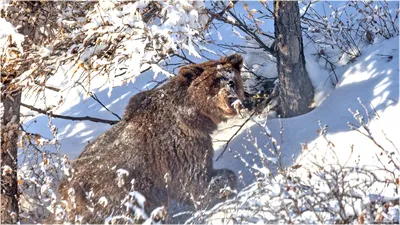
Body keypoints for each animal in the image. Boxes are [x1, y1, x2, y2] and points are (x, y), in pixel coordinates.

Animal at [53, 54, 245, 223]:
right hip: (114, 195)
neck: (191, 118)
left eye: (231, 81)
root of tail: (65, 189)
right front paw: (225, 186)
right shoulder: (176, 149)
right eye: (214, 84)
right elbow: (194, 183)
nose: (232, 100)